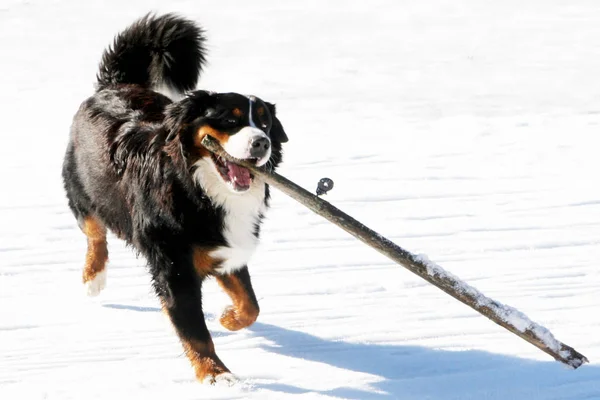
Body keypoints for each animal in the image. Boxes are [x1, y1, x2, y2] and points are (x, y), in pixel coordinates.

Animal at [61, 13, 288, 384]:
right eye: (231, 119)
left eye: (266, 124)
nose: (261, 143)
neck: (199, 188)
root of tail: (113, 86)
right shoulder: (174, 267)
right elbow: (195, 331)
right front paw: (216, 375)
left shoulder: (224, 249)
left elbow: (250, 304)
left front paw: (228, 317)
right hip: (82, 187)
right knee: (94, 232)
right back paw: (94, 278)